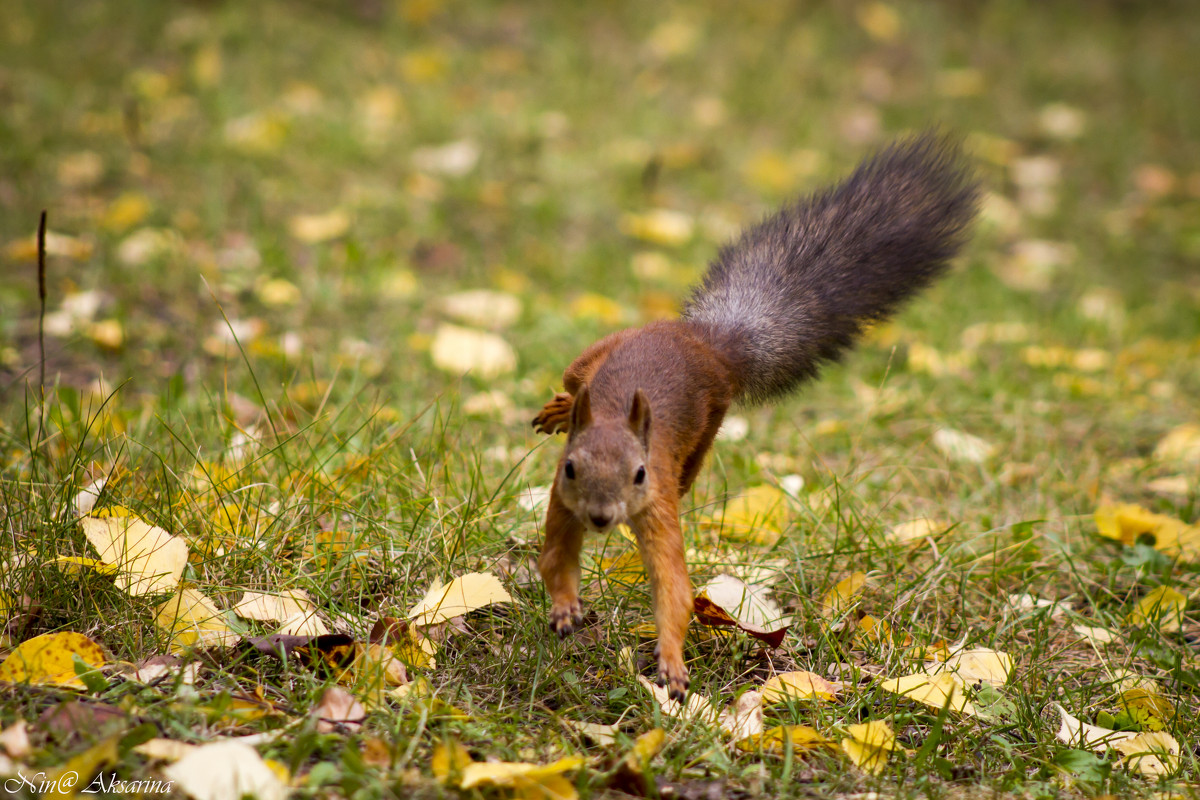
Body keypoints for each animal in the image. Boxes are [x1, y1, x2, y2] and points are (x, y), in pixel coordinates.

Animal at [530, 133, 979, 700]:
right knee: (573, 381)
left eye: (639, 473)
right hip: (597, 354)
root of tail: (710, 341)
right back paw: (560, 408)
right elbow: (554, 558)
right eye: (572, 468)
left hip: (708, 424)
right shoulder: (562, 498)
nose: (601, 517)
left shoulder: (657, 503)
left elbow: (674, 588)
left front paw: (672, 663)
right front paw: (567, 607)